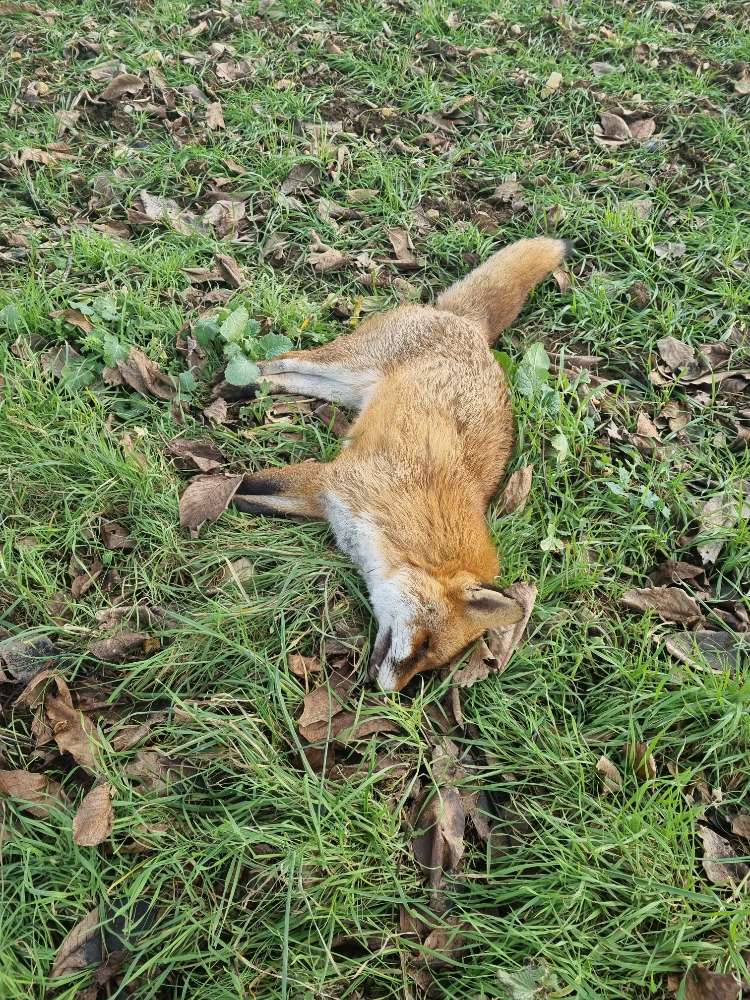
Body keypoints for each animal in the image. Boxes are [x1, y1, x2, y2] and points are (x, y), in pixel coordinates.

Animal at [232, 236, 570, 691]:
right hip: (345, 362)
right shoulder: (331, 480)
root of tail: (472, 328)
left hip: (344, 389)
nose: (389, 692)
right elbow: (240, 484)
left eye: (431, 663)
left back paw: (251, 385)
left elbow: (252, 498)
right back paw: (240, 379)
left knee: (288, 377)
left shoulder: (321, 502)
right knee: (285, 357)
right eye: (424, 645)